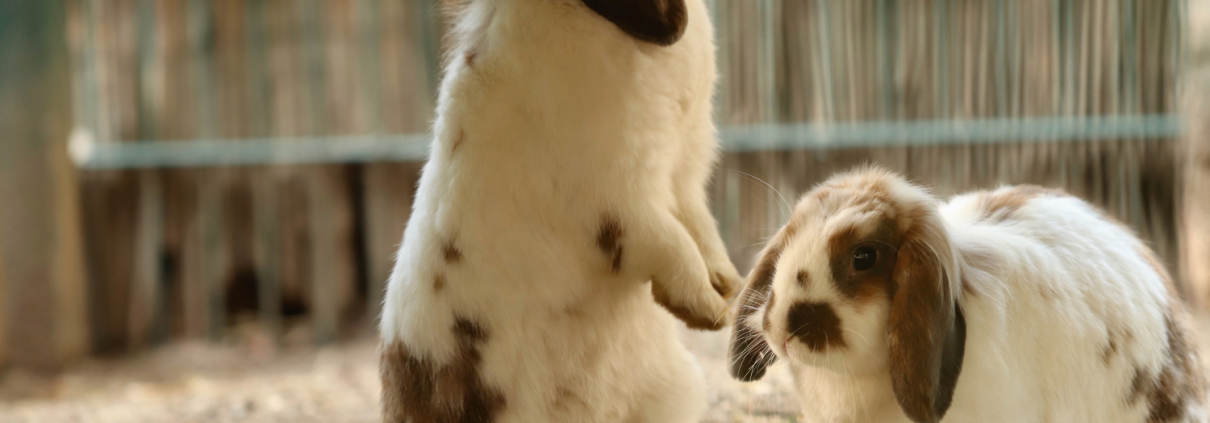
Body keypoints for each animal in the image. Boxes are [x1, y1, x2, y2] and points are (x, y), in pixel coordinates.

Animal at [378, 1, 740, 422]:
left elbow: (700, 227)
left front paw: (728, 283)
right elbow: (673, 245)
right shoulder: (624, 203)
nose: (724, 294)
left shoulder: (683, 178)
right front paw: (709, 310)